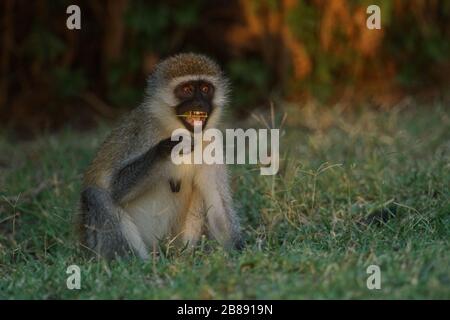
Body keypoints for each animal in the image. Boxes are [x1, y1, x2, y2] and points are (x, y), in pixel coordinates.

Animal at [79, 53, 244, 260]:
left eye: (206, 89)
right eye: (187, 90)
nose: (200, 103)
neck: (175, 127)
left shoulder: (210, 142)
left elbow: (219, 213)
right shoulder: (143, 131)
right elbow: (116, 188)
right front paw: (167, 147)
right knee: (96, 195)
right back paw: (139, 263)